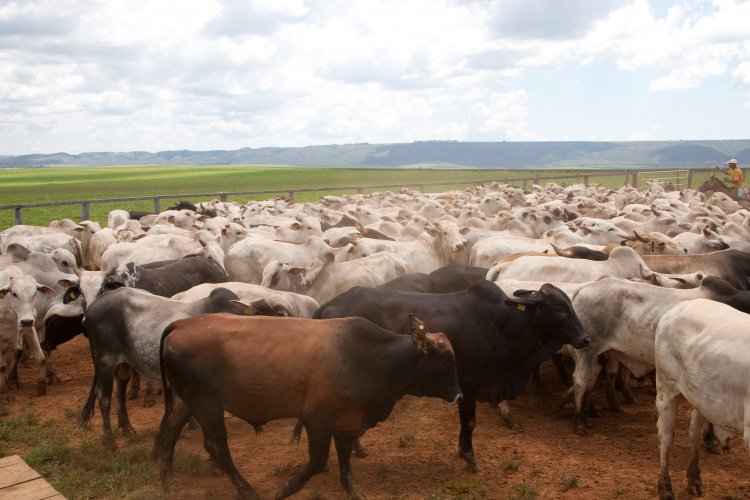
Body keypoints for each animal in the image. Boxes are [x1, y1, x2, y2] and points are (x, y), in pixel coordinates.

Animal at [154, 312, 464, 496]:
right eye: (446, 362)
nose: (459, 395)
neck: (367, 357)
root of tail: (183, 323)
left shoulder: (347, 419)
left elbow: (344, 454)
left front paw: (351, 488)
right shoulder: (317, 420)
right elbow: (318, 460)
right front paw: (286, 488)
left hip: (186, 402)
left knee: (171, 430)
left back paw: (167, 479)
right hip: (206, 404)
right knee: (216, 446)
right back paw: (246, 490)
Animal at [314, 282, 592, 472]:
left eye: (569, 304)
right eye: (559, 308)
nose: (586, 338)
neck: (505, 324)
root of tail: (325, 306)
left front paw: (461, 450)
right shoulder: (469, 385)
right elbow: (469, 423)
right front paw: (470, 457)